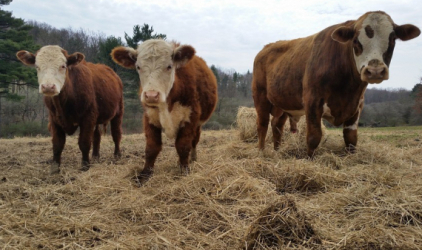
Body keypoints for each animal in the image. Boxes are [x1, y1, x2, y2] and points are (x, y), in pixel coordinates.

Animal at [16, 45, 125, 174]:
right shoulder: (54, 119)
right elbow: (57, 144)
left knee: (116, 134)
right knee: (97, 136)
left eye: (63, 66)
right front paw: (55, 168)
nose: (48, 87)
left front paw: (85, 166)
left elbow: (84, 142)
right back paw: (95, 156)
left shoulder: (88, 118)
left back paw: (117, 155)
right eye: (37, 66)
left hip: (118, 112)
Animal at [110, 39, 218, 182]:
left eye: (169, 66)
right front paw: (145, 174)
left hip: (198, 124)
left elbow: (183, 146)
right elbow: (151, 148)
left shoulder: (190, 117)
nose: (151, 95)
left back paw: (192, 159)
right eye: (138, 67)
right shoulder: (149, 118)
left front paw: (184, 170)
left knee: (194, 141)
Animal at [252, 11, 420, 157]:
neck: (347, 88)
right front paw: (309, 160)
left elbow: (351, 138)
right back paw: (261, 152)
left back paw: (277, 151)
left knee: (277, 125)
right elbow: (314, 136)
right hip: (260, 97)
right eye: (355, 40)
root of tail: (265, 48)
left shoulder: (357, 105)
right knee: (262, 124)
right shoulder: (312, 101)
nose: (375, 71)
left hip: (283, 103)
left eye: (392, 39)